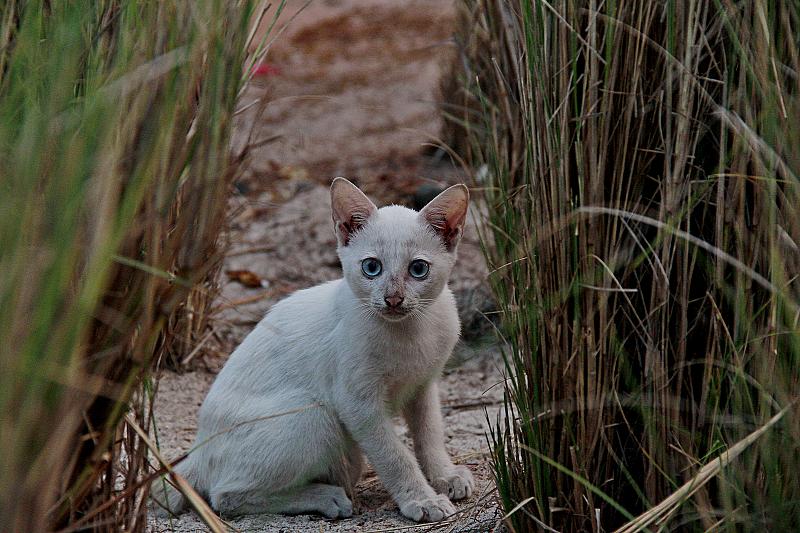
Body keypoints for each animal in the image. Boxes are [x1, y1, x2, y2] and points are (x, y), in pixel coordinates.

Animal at [151, 177, 474, 523]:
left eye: (418, 269)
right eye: (372, 267)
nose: (393, 299)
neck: (411, 332)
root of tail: (198, 448)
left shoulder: (423, 386)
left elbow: (429, 436)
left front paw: (446, 477)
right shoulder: (358, 404)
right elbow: (395, 457)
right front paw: (422, 500)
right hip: (316, 415)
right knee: (224, 495)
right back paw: (328, 498)